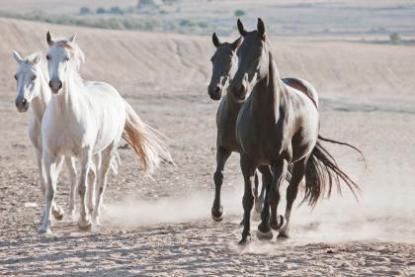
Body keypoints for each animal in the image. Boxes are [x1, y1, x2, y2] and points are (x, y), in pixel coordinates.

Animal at [12, 50, 118, 221]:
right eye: (16, 76)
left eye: (34, 76)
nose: (21, 103)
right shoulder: (41, 152)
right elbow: (45, 184)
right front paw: (54, 213)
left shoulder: (59, 155)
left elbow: (54, 181)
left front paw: (56, 212)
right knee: (88, 174)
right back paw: (81, 209)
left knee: (94, 174)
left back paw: (93, 211)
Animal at [39, 31, 172, 232]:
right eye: (48, 56)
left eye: (67, 58)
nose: (55, 84)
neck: (65, 114)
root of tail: (115, 94)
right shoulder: (51, 154)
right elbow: (51, 188)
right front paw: (46, 225)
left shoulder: (84, 152)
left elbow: (82, 187)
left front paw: (84, 222)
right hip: (93, 152)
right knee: (93, 176)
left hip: (107, 150)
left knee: (101, 181)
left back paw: (95, 216)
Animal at [231, 19, 360, 243]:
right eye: (238, 52)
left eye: (258, 52)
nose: (239, 88)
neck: (265, 115)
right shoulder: (247, 159)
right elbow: (248, 198)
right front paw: (246, 236)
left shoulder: (281, 160)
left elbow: (277, 195)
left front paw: (275, 223)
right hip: (264, 163)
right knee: (269, 184)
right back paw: (264, 226)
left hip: (301, 160)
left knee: (290, 191)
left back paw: (282, 230)